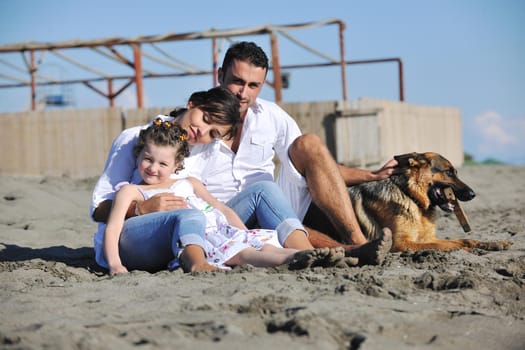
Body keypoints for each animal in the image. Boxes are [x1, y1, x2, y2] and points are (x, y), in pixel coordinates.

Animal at [304, 152, 510, 253]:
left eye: (455, 172)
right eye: (449, 172)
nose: (473, 194)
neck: (412, 198)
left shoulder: (426, 238)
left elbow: (464, 239)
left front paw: (493, 243)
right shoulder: (402, 243)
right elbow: (452, 245)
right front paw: (468, 250)